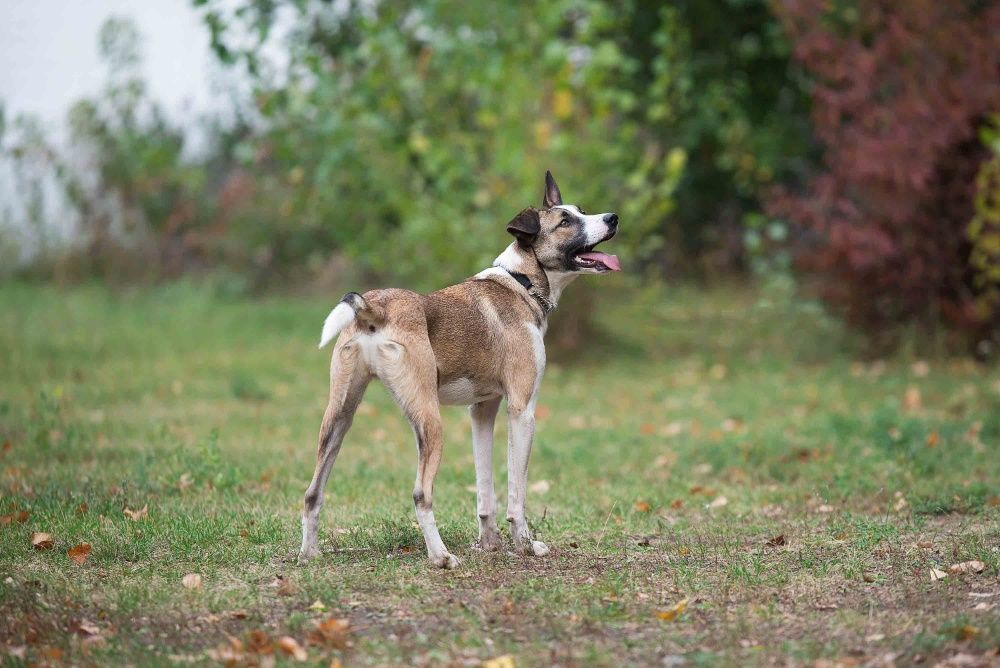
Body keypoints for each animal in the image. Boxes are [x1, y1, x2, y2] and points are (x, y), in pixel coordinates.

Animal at [300, 170, 620, 568]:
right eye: (564, 222)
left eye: (582, 211)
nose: (613, 218)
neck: (522, 282)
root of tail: (375, 305)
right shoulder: (522, 411)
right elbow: (516, 493)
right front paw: (525, 544)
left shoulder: (482, 411)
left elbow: (486, 490)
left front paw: (489, 543)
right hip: (429, 421)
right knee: (421, 493)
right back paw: (440, 557)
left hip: (339, 417)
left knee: (312, 492)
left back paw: (309, 554)